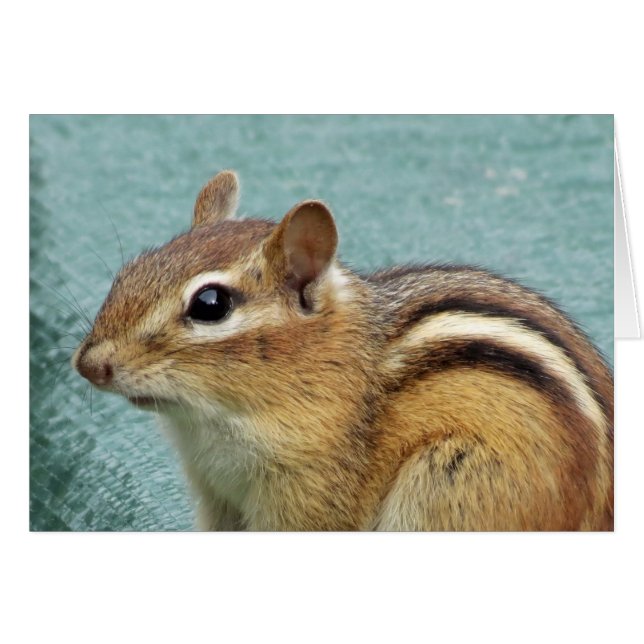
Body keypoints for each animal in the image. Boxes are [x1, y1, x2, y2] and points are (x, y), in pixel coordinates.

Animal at [72, 170, 614, 531]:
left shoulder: (307, 495)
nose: (89, 366)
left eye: (210, 304)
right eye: (132, 269)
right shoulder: (216, 496)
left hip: (448, 487)